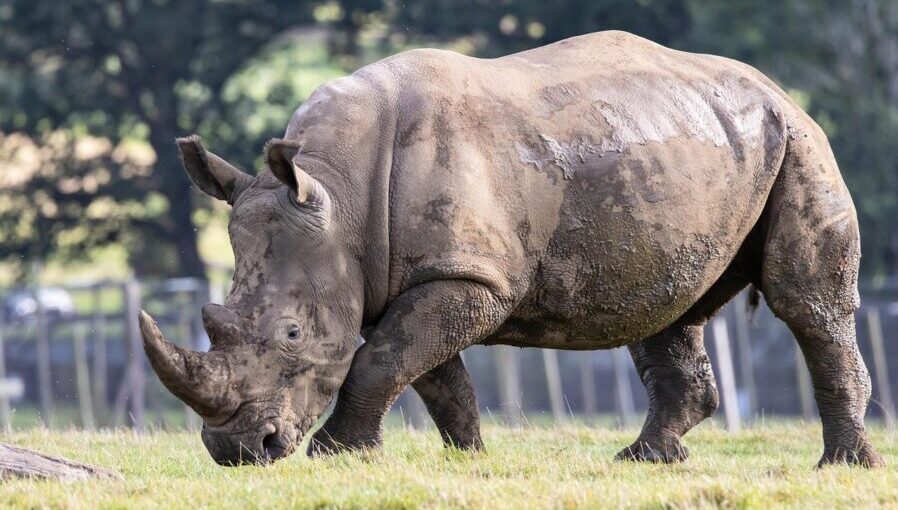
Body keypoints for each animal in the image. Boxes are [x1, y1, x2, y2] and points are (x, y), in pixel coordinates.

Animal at [140, 31, 884, 468]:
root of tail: (776, 89)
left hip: (800, 141)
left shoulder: (471, 278)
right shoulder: (423, 273)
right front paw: (470, 459)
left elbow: (382, 362)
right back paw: (643, 460)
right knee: (669, 311)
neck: (337, 192)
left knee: (804, 304)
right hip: (694, 152)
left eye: (293, 333)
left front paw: (333, 455)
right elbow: (427, 372)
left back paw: (842, 466)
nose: (237, 451)